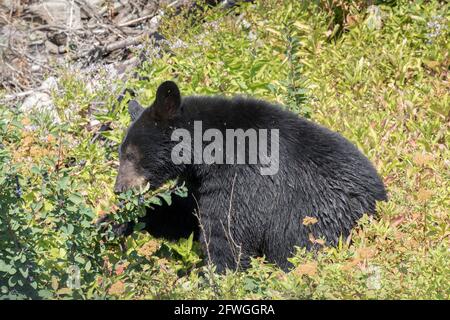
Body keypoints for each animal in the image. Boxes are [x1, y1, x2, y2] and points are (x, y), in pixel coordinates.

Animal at [115, 81, 386, 272]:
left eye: (130, 154)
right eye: (122, 152)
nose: (119, 188)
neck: (207, 151)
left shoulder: (241, 177)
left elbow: (228, 231)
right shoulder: (200, 181)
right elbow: (183, 212)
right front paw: (119, 222)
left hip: (320, 219)